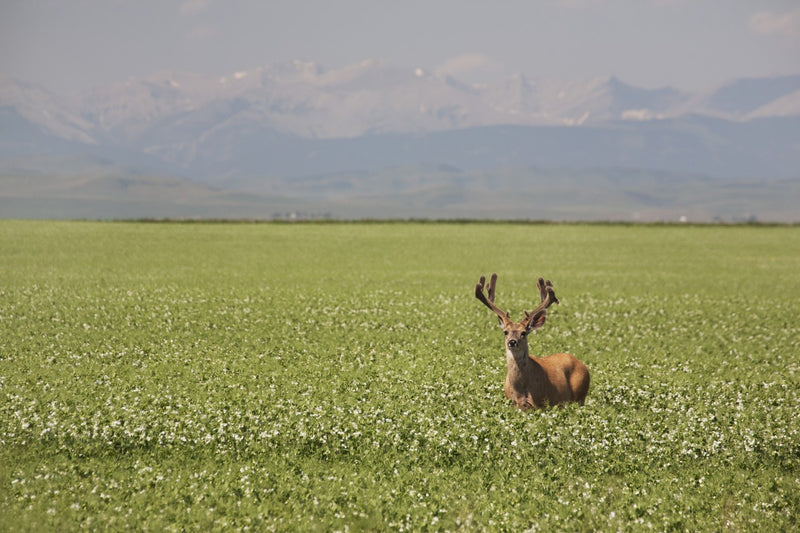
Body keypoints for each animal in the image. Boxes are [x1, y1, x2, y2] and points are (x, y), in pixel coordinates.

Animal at [475, 273, 589, 409]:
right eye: (506, 332)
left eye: (523, 333)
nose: (512, 342)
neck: (520, 392)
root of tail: (583, 365)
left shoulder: (540, 403)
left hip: (580, 395)